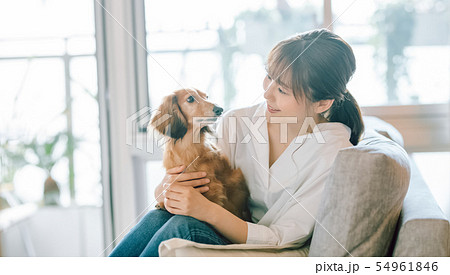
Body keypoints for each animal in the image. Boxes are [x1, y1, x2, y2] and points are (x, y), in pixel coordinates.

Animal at [149, 88, 251, 222]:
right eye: (190, 98)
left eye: (206, 96)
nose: (220, 109)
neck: (188, 149)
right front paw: (162, 204)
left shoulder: (212, 187)